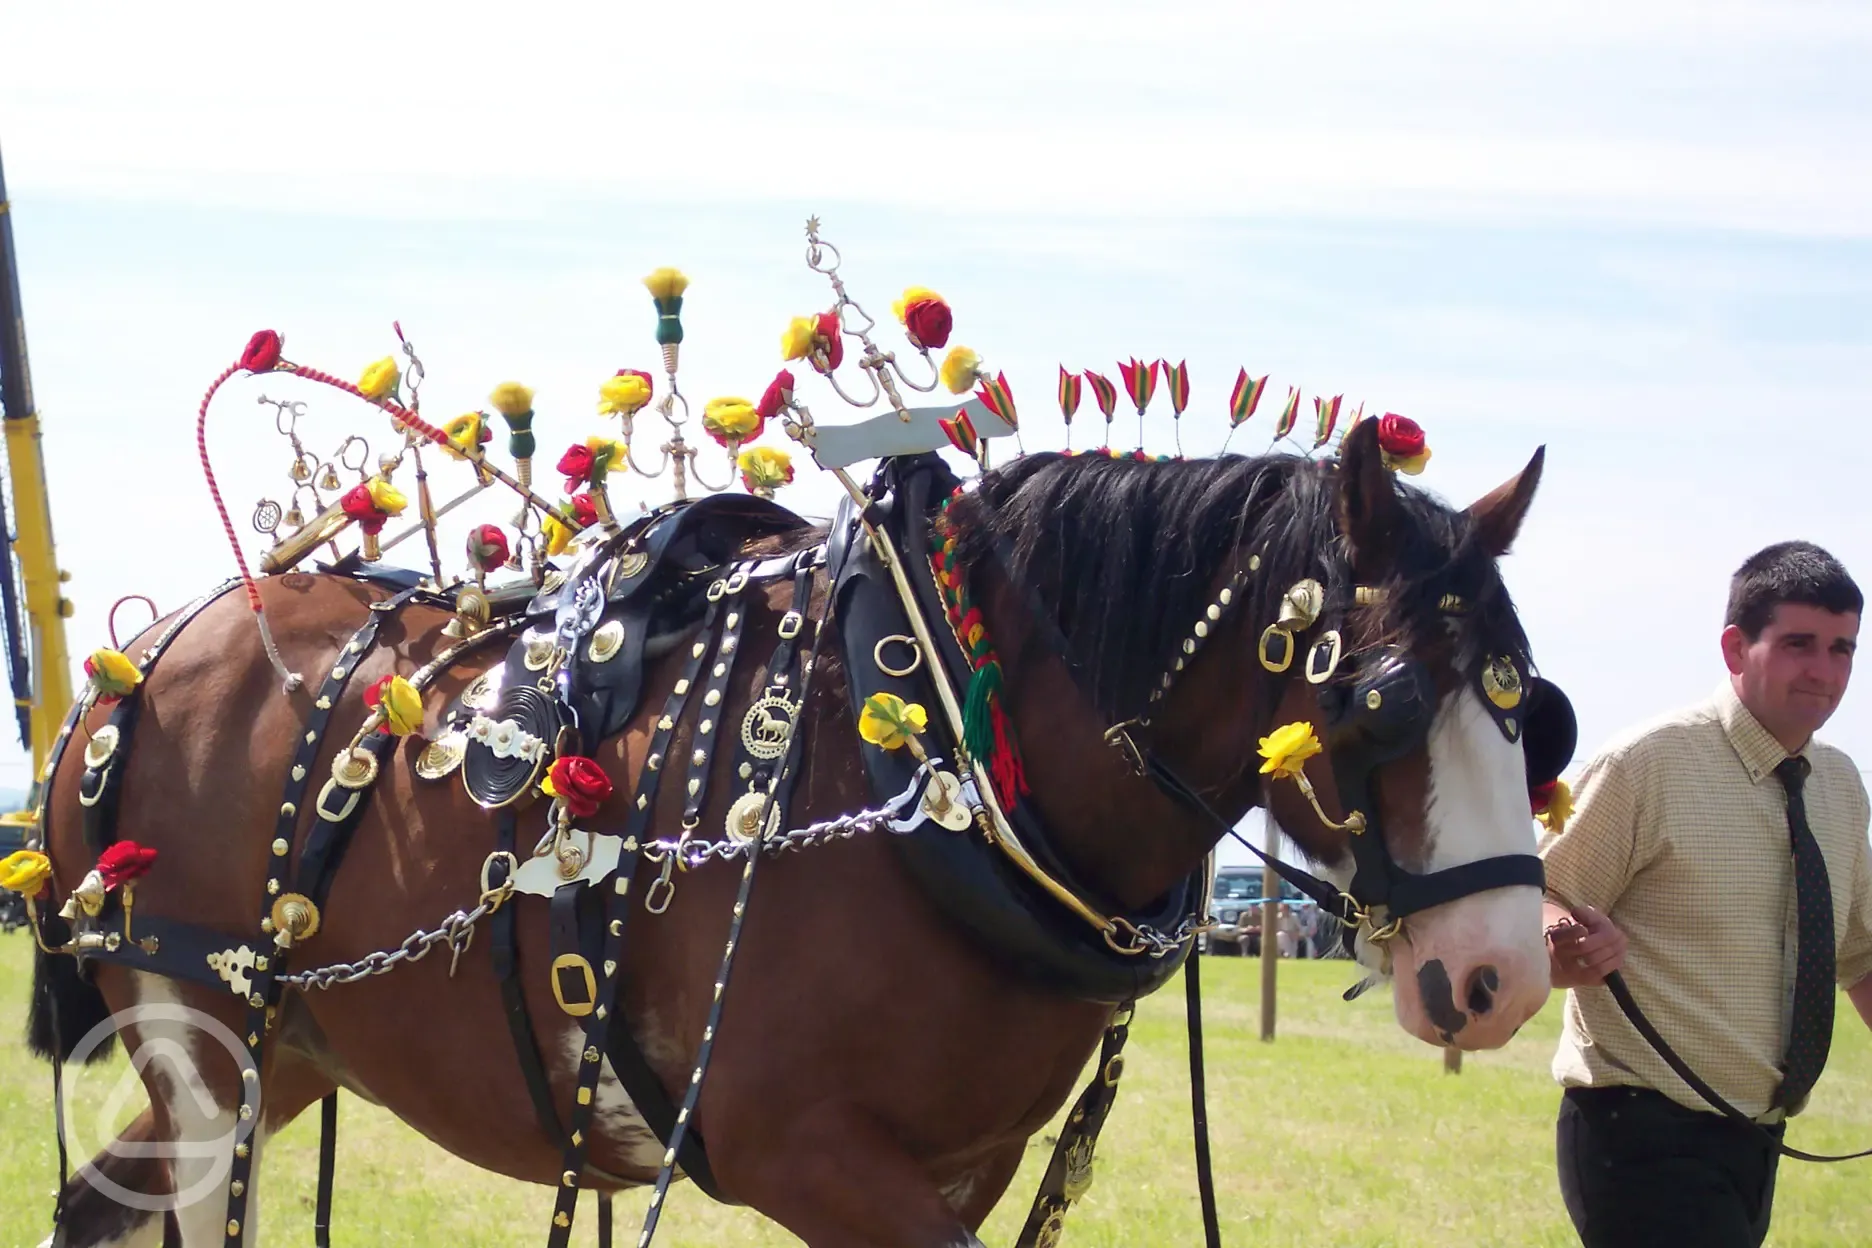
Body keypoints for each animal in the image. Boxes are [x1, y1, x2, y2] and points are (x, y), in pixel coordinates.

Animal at [29, 422, 1550, 1248]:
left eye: (1534, 713)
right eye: (1377, 704)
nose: (1506, 974)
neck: (941, 754)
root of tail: (141, 655)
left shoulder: (962, 1165)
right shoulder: (802, 1153)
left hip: (287, 1050)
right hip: (201, 1043)